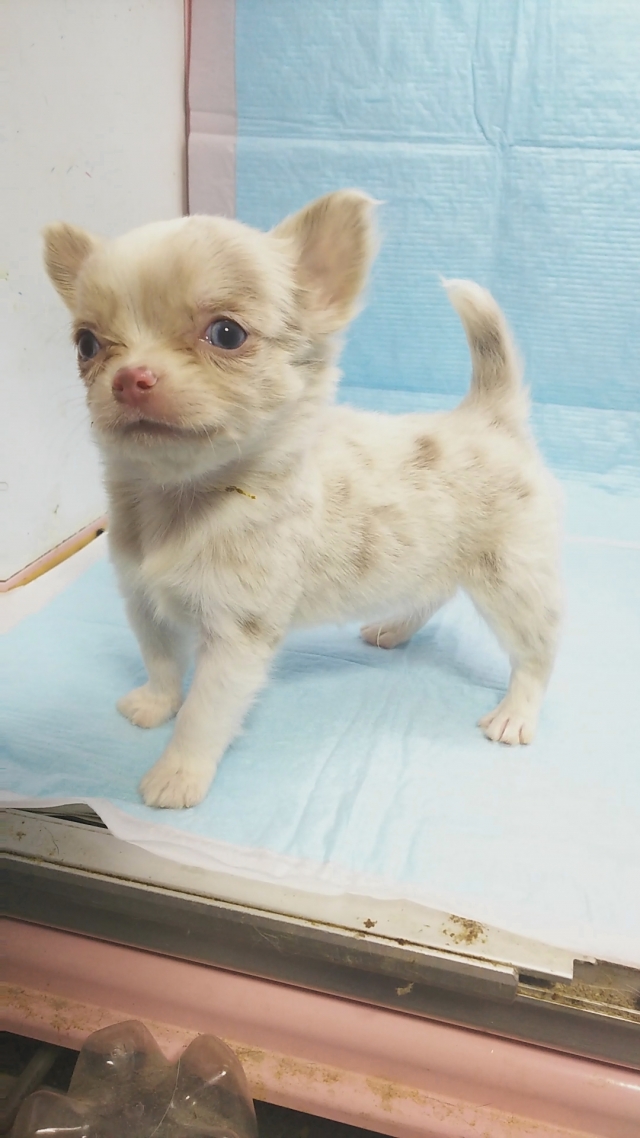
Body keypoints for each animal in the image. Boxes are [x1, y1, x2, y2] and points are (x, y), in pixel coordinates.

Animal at [43, 190, 562, 809]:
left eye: (226, 334)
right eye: (87, 344)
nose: (129, 378)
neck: (182, 499)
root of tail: (488, 416)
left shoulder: (236, 638)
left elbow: (204, 714)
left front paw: (178, 774)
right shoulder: (144, 603)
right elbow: (163, 662)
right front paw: (154, 702)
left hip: (510, 578)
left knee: (537, 650)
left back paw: (516, 713)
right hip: (434, 558)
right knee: (432, 592)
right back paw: (393, 629)